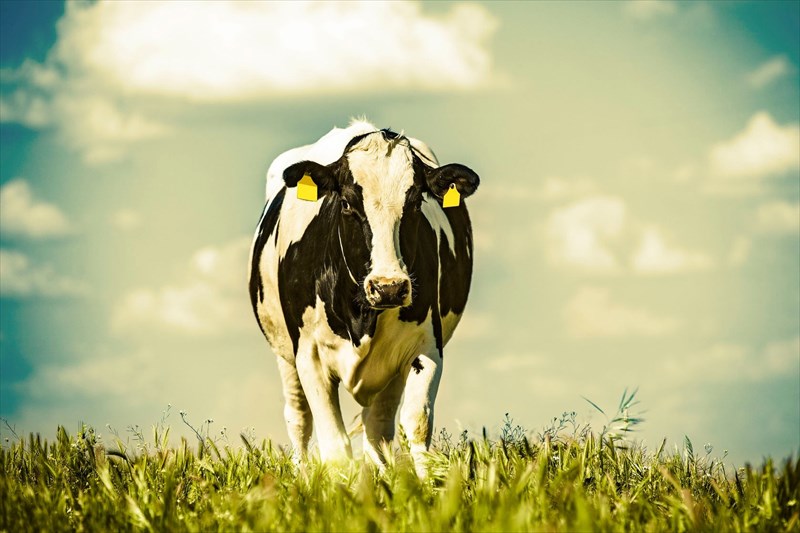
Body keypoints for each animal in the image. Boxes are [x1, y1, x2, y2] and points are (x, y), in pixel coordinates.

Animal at [248, 119, 479, 476]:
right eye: (346, 203)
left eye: (416, 203)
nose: (389, 286)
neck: (362, 316)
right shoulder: (309, 355)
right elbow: (334, 444)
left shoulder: (426, 347)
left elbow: (417, 423)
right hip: (285, 354)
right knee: (299, 418)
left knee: (378, 425)